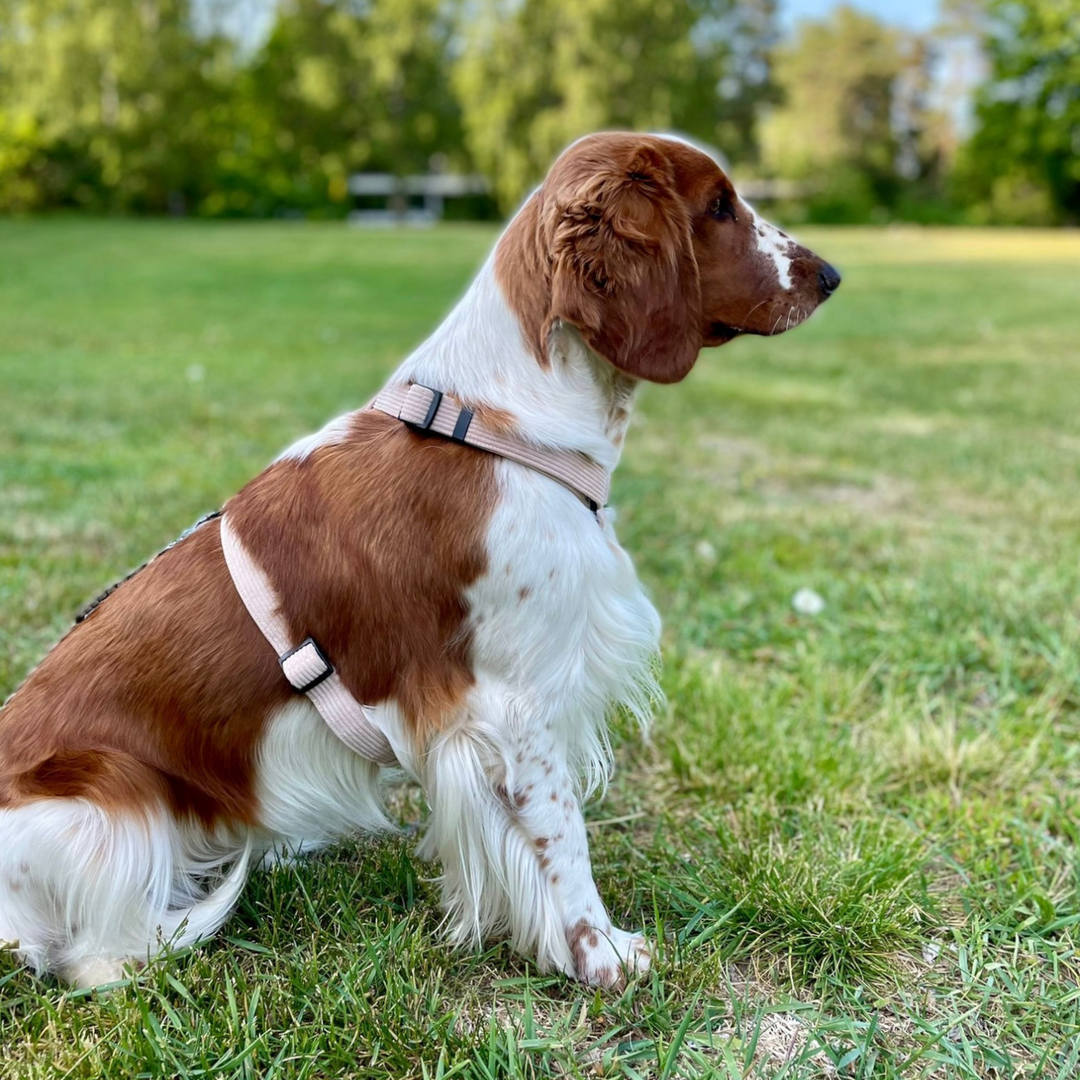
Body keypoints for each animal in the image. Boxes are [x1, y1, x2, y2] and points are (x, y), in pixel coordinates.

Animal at [0, 132, 838, 989]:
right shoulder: (519, 704)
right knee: (93, 957)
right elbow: (563, 841)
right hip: (111, 792)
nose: (830, 274)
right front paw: (600, 954)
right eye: (719, 206)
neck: (504, 426)